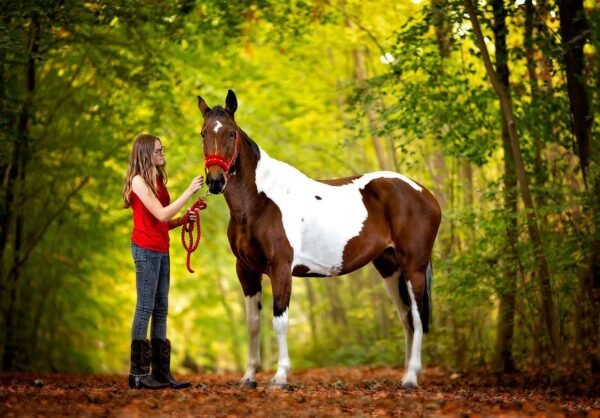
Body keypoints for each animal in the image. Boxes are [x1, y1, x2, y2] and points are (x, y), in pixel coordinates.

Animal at [197, 90, 440, 390]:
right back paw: (406, 374)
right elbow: (253, 323)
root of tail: (424, 193)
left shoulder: (280, 267)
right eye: (203, 133)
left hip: (413, 267)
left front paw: (280, 376)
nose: (215, 181)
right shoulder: (246, 270)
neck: (260, 203)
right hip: (390, 268)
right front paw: (249, 376)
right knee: (406, 317)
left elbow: (280, 320)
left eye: (231, 133)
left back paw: (411, 378)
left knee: (417, 317)